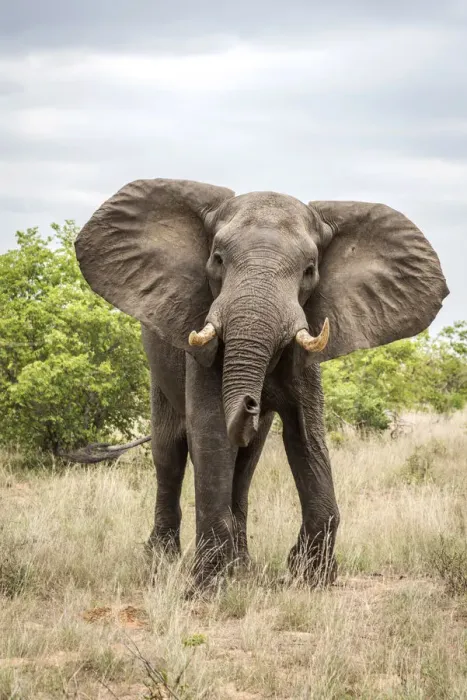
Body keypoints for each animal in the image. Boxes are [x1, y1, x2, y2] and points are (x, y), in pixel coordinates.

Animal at [74, 179, 448, 589]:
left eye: (310, 270)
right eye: (217, 259)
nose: (253, 403)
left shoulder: (307, 354)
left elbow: (306, 437)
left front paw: (310, 578)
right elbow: (210, 430)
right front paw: (208, 586)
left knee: (246, 463)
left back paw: (242, 565)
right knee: (170, 453)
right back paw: (163, 563)